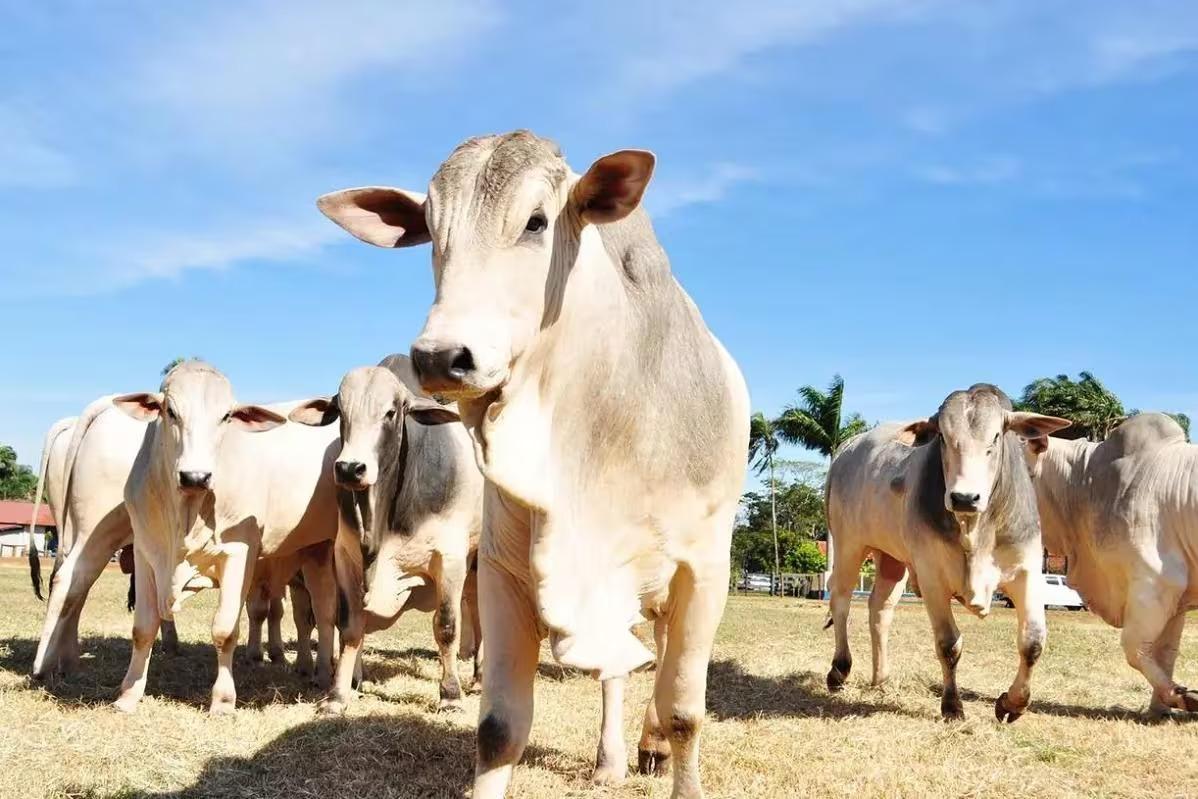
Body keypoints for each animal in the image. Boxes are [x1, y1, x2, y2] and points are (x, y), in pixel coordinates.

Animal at [101, 361, 339, 714]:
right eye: (170, 411)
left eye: (226, 416)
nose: (196, 476)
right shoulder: (146, 552)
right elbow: (143, 628)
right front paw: (128, 694)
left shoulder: (239, 552)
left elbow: (226, 630)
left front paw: (224, 700)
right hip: (312, 552)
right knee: (317, 611)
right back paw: (318, 671)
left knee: (324, 613)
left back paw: (325, 673)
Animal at [290, 355, 483, 713]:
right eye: (341, 412)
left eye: (391, 412)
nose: (350, 469)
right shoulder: (345, 555)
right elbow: (350, 627)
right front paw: (338, 695)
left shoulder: (450, 558)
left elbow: (447, 627)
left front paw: (450, 695)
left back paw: (478, 679)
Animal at [315, 130, 749, 799]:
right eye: (430, 231)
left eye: (537, 222)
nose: (441, 356)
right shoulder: (502, 569)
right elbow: (498, 727)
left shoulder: (703, 571)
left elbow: (684, 710)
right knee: (618, 670)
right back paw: (616, 757)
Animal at [824, 384, 1069, 721]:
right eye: (942, 436)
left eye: (996, 436)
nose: (964, 497)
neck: (975, 530)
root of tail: (847, 448)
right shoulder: (932, 578)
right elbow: (949, 644)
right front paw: (952, 706)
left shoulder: (1027, 571)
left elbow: (1032, 642)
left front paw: (1013, 704)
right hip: (849, 545)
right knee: (841, 601)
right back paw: (839, 669)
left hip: (892, 561)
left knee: (880, 609)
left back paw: (881, 679)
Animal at [1024, 412, 1198, 715]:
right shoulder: (1177, 600)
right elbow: (1166, 653)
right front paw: (1161, 708)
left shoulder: (1156, 584)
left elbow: (1133, 647)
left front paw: (1180, 696)